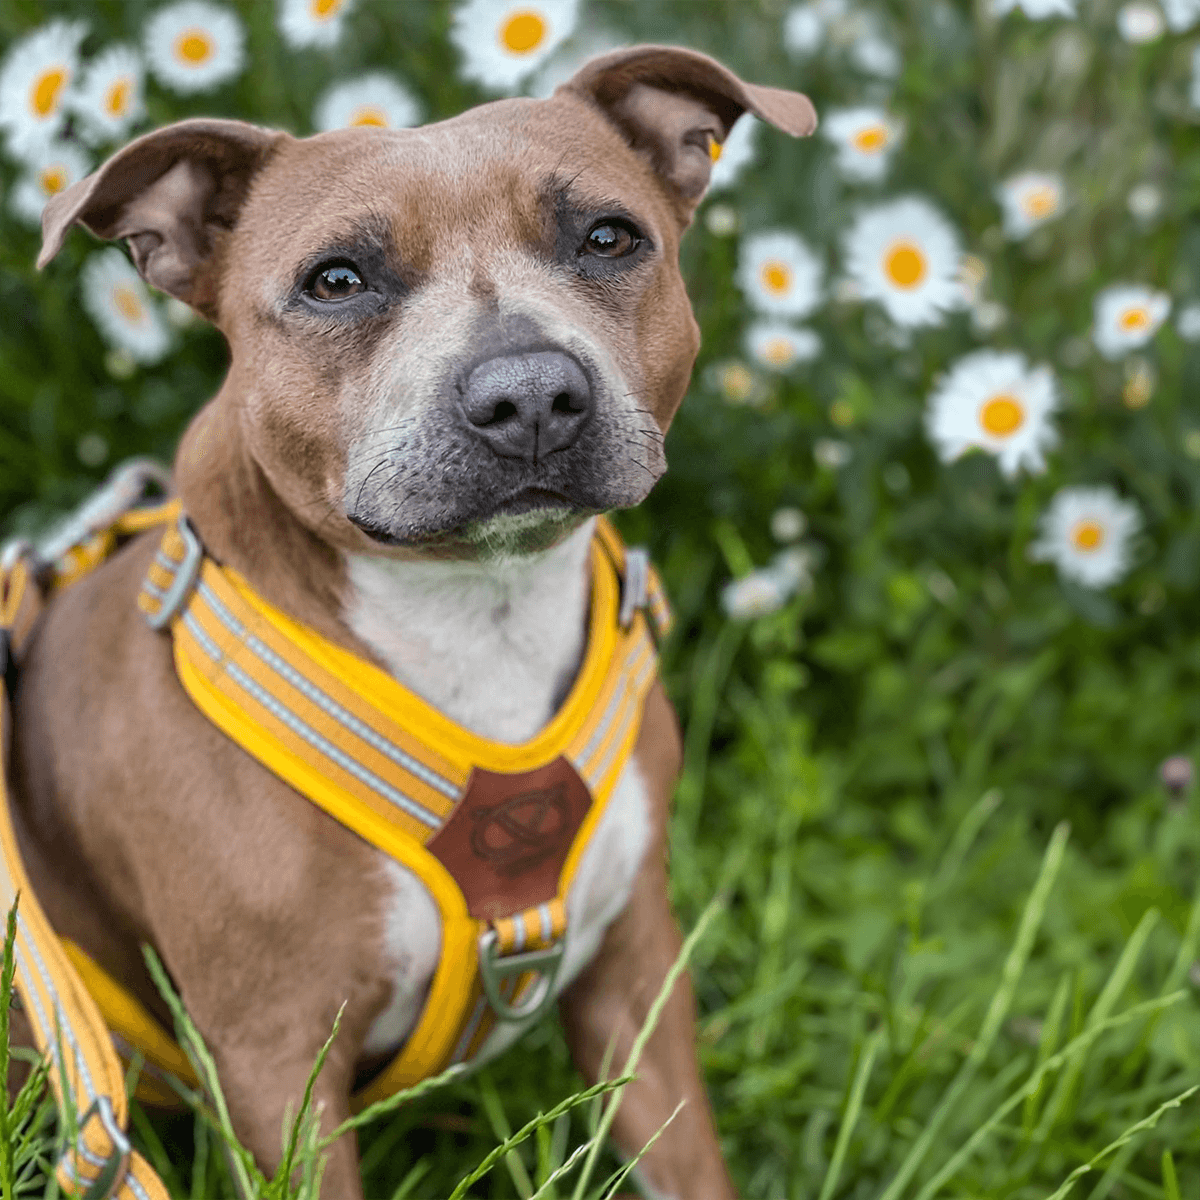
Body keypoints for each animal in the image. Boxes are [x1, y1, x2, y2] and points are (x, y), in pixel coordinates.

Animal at [11, 46, 816, 1200]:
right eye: (336, 280)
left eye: (608, 237)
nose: (530, 394)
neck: (481, 617)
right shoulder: (277, 1065)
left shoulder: (635, 978)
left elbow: (686, 1159)